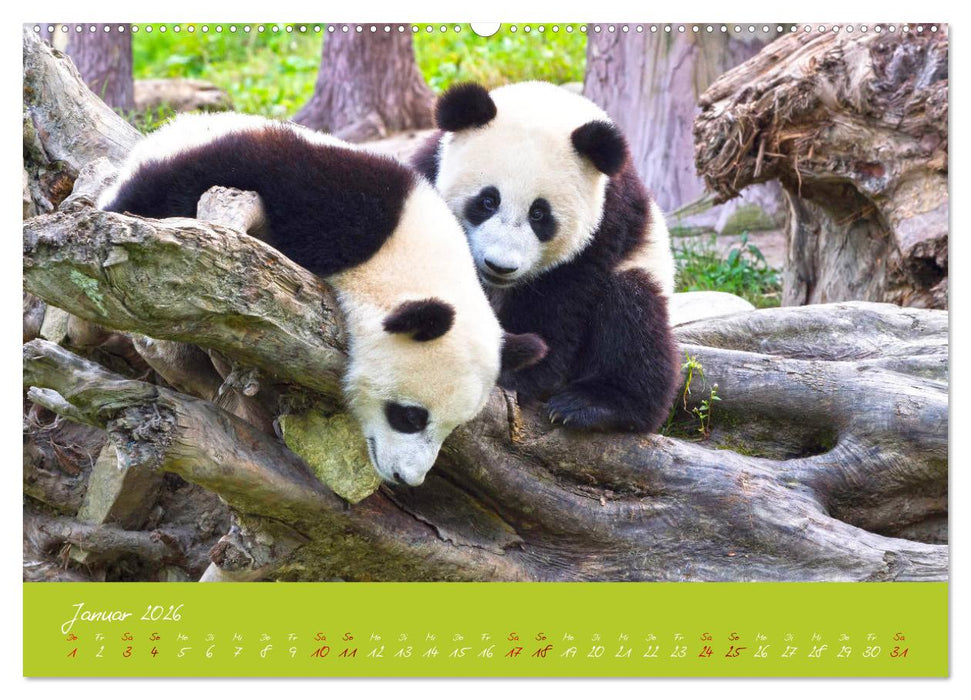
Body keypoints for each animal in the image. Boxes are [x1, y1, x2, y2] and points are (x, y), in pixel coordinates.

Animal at [412, 81, 679, 433]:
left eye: (539, 214)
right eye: (487, 201)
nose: (500, 266)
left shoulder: (604, 226)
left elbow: (558, 302)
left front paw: (514, 371)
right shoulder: (427, 174)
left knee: (633, 315)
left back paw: (595, 404)